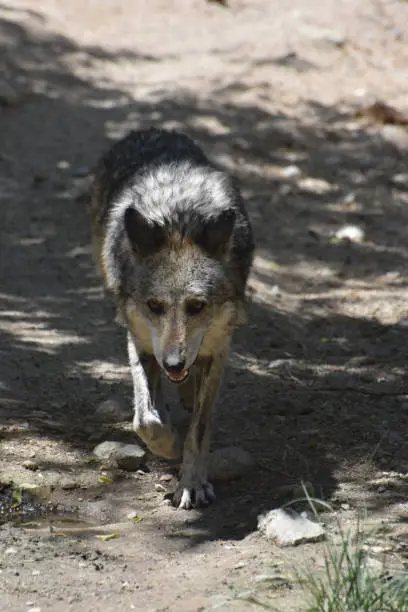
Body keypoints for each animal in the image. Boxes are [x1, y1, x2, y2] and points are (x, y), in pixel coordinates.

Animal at [89, 130, 253, 512]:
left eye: (197, 306)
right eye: (154, 305)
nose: (174, 363)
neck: (179, 221)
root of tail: (153, 130)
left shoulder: (218, 348)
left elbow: (199, 431)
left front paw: (191, 483)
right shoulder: (140, 340)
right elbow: (144, 420)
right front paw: (169, 444)